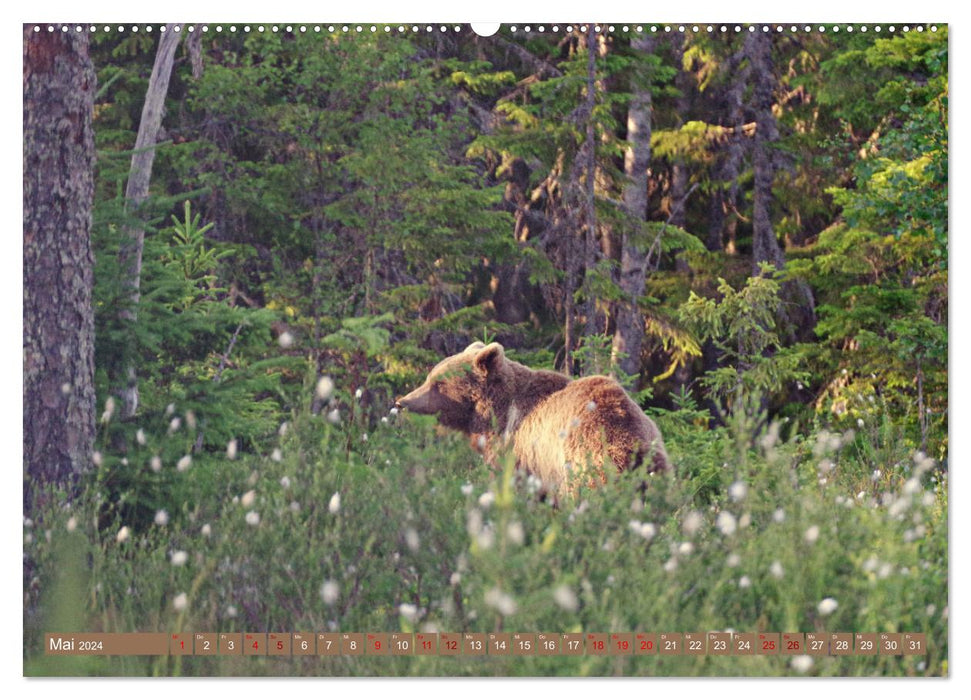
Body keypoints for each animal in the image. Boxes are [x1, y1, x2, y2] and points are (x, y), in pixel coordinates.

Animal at [392, 340, 668, 498]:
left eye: (439, 383)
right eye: (430, 376)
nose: (402, 402)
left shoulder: (519, 451)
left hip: (586, 460)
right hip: (656, 467)